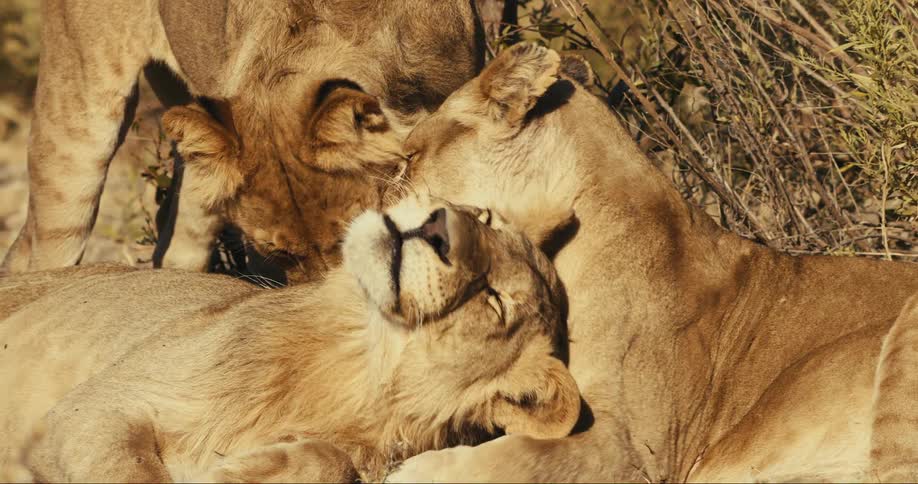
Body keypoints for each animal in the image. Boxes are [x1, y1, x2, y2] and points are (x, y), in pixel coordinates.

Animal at [0, 196, 581, 482]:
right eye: (483, 217)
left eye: (494, 299)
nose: (438, 225)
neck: (348, 363)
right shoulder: (97, 408)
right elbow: (132, 474)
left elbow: (335, 462)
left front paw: (240, 471)